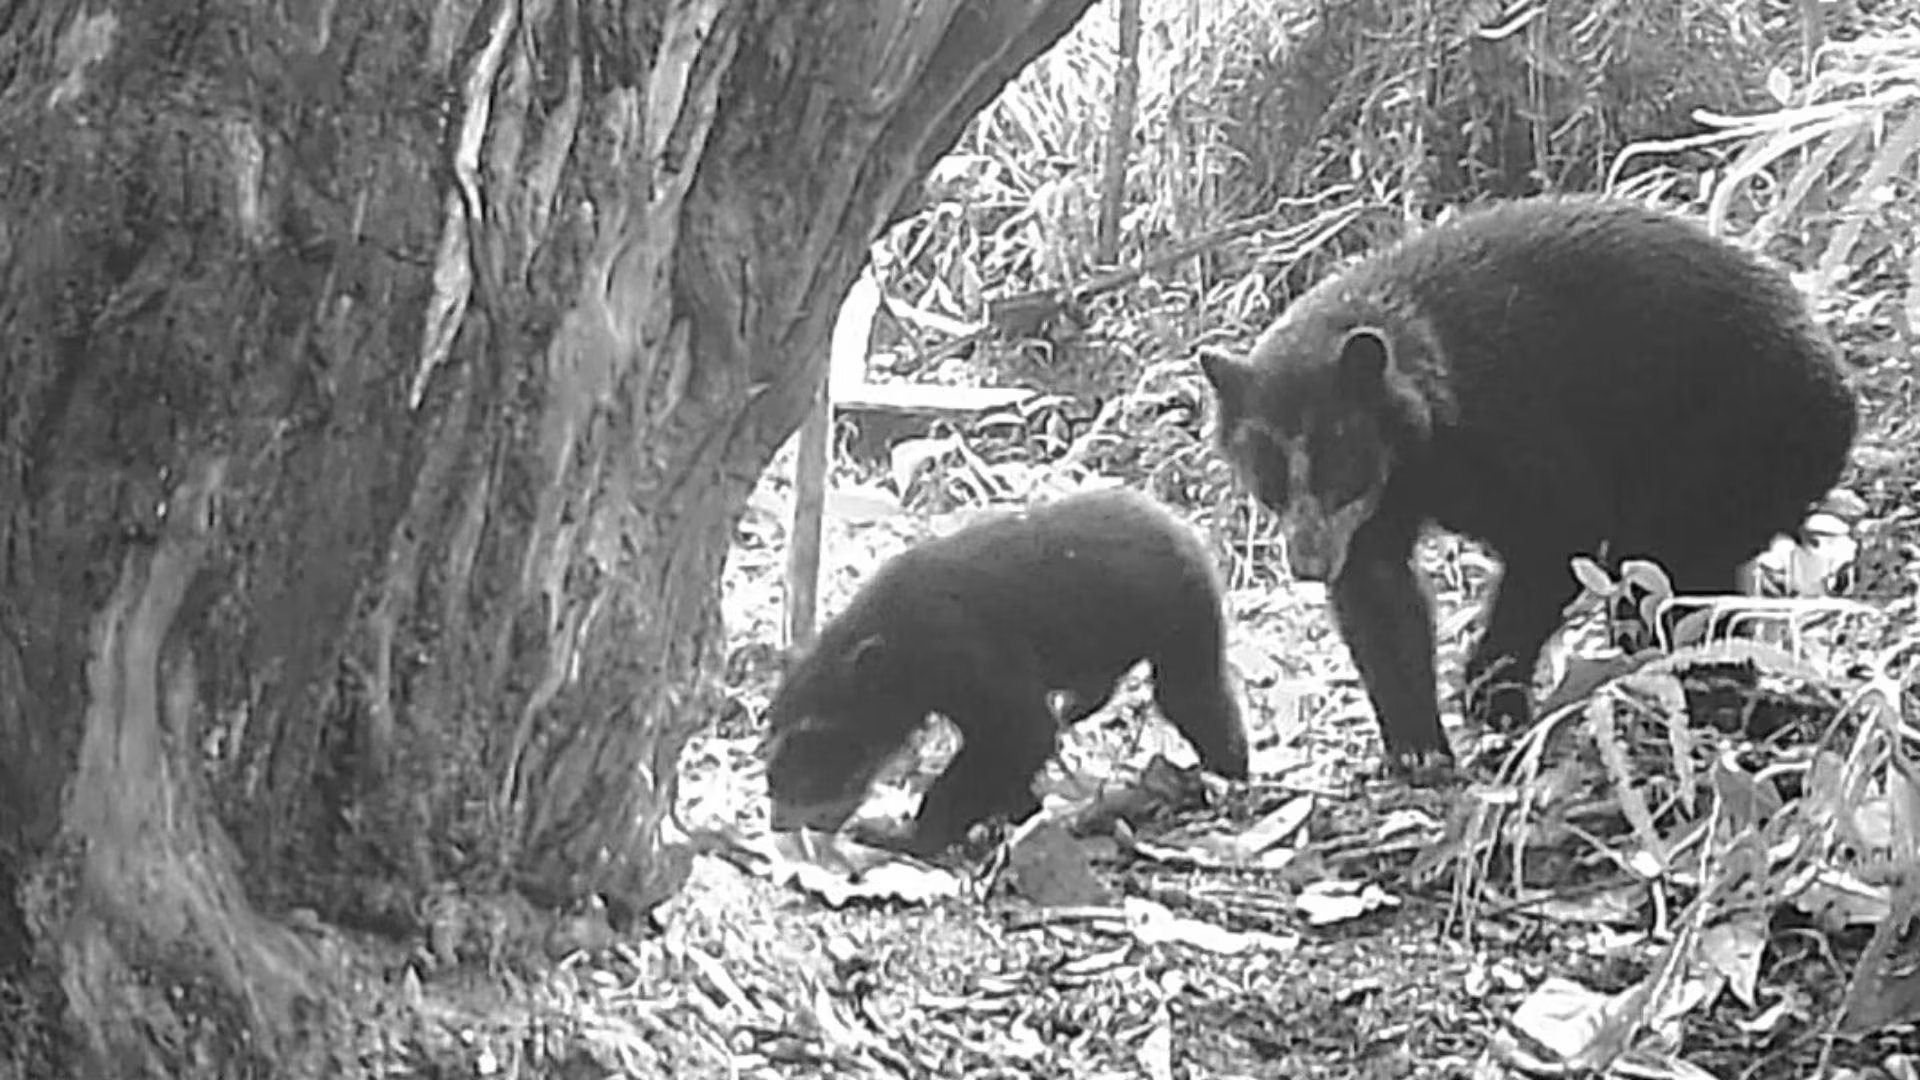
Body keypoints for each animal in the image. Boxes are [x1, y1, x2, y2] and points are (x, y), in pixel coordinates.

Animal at [762, 486, 1250, 855]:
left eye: (817, 741)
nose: (781, 821)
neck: (899, 643)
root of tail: (1189, 532)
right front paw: (1021, 812)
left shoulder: (968, 653)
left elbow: (1020, 734)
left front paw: (906, 834)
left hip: (1183, 614)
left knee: (1193, 695)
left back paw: (1230, 778)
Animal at [1197, 195, 1858, 770]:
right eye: (1267, 478)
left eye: (1339, 465)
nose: (1309, 562)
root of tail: (1838, 380)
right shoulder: (1377, 510)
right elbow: (1380, 595)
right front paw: (1417, 747)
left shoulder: (1509, 420)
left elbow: (1557, 532)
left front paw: (1490, 692)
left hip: (1735, 429)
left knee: (1664, 570)